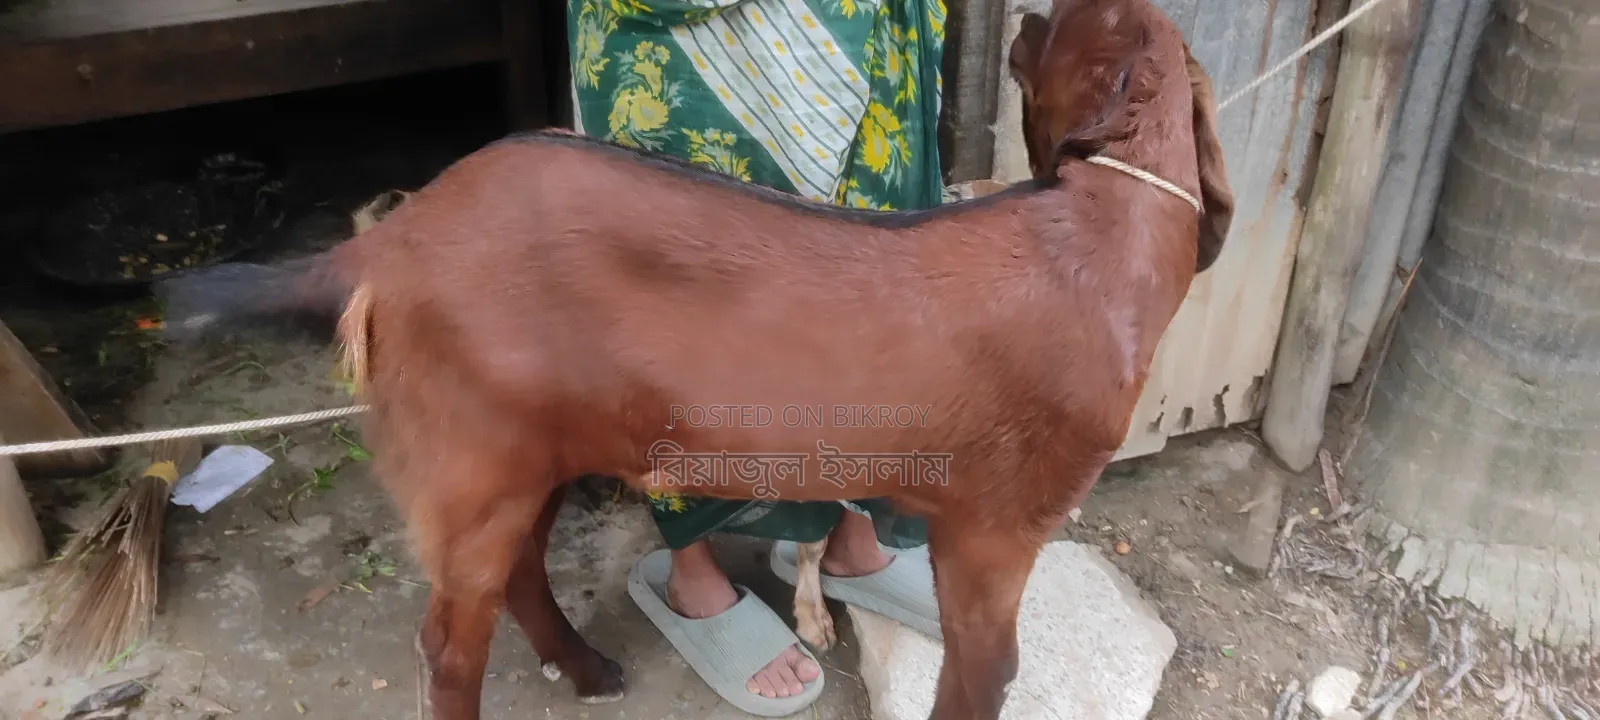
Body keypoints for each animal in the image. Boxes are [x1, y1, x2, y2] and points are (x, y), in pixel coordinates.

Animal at [157, 0, 1232, 716]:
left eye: (1061, 28)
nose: (1031, 11)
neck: (1105, 229)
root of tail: (385, 245)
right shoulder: (998, 530)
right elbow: (990, 673)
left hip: (534, 447)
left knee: (516, 574)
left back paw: (589, 669)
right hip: (476, 460)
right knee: (446, 645)